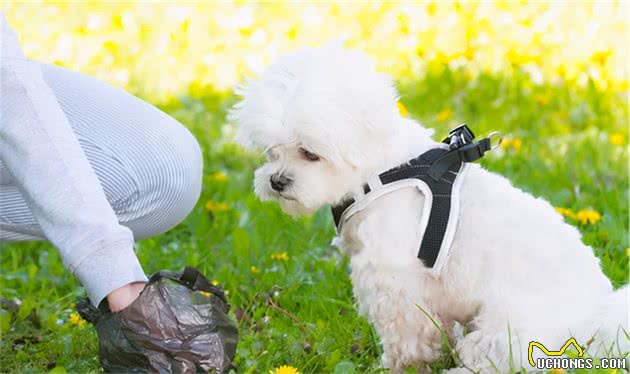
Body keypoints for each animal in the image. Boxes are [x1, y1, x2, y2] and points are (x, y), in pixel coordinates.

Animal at [231, 43, 628, 372]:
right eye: (272, 151)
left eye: (310, 153)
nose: (277, 181)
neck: (381, 170)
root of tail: (599, 315)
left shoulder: (394, 280)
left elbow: (406, 334)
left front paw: (400, 366)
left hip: (508, 330)